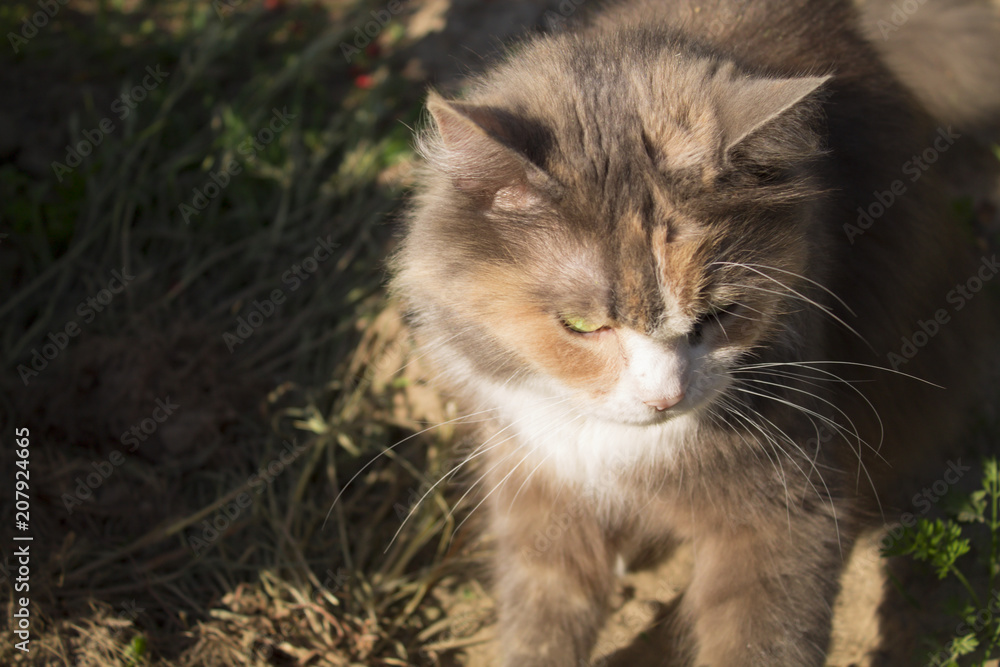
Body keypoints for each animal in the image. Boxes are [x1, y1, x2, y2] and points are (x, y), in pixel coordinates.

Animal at [388, 2, 1000, 664]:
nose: (665, 398)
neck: (622, 451)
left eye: (718, 315)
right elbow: (543, 621)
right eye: (582, 326)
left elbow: (762, 638)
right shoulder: (537, 482)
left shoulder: (783, 506)